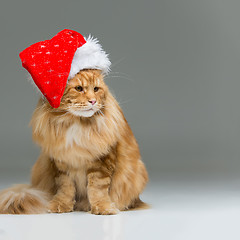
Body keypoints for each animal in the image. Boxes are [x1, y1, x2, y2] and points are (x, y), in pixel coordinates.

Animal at [0, 70, 148, 216]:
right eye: (79, 89)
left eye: (96, 89)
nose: (93, 101)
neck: (76, 123)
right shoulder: (61, 164)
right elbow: (66, 188)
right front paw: (61, 205)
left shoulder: (102, 162)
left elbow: (97, 189)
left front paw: (102, 208)